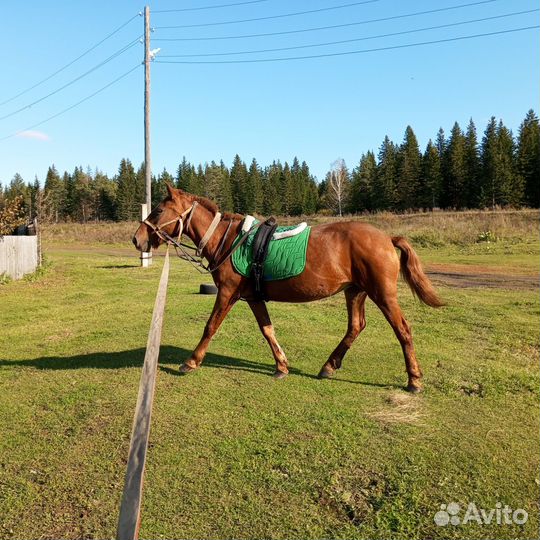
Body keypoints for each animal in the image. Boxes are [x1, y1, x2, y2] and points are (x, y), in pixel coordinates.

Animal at [134, 186, 442, 392]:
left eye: (158, 210)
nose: (137, 239)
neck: (229, 240)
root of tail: (387, 238)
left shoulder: (227, 293)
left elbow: (210, 326)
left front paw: (191, 361)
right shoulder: (251, 298)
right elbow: (267, 330)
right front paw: (281, 366)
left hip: (383, 294)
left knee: (403, 329)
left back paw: (414, 379)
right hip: (355, 291)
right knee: (356, 326)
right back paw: (329, 366)